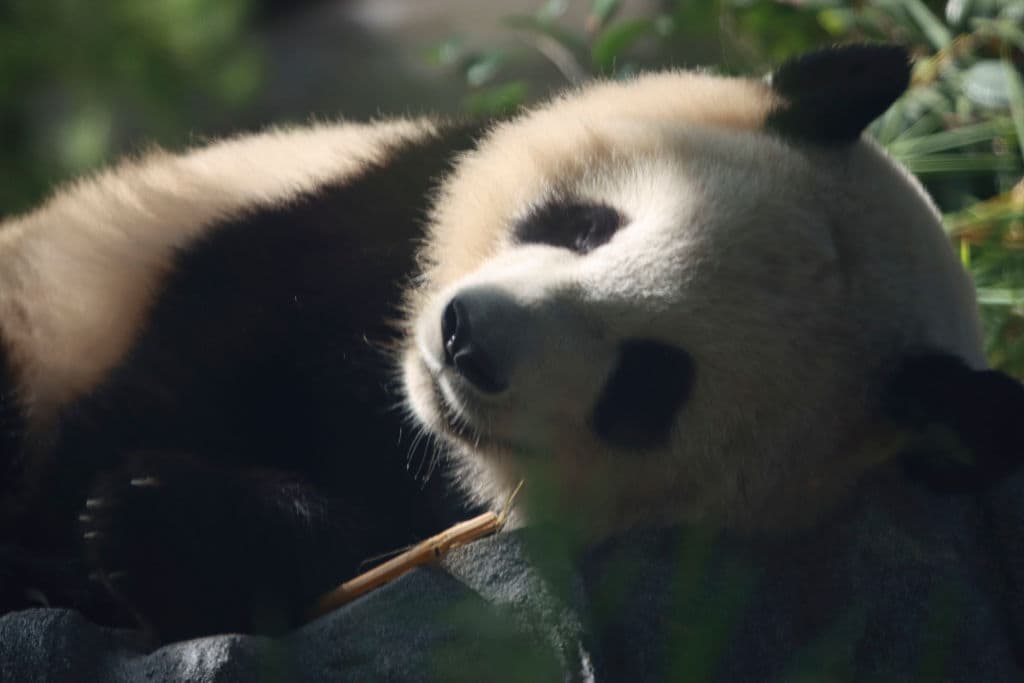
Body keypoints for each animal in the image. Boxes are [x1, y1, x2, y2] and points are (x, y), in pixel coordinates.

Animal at [0, 44, 1020, 644]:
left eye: (647, 385)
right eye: (588, 226)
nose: (466, 342)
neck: (395, 401)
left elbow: (367, 553)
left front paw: (154, 525)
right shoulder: (338, 223)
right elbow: (191, 362)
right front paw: (85, 535)